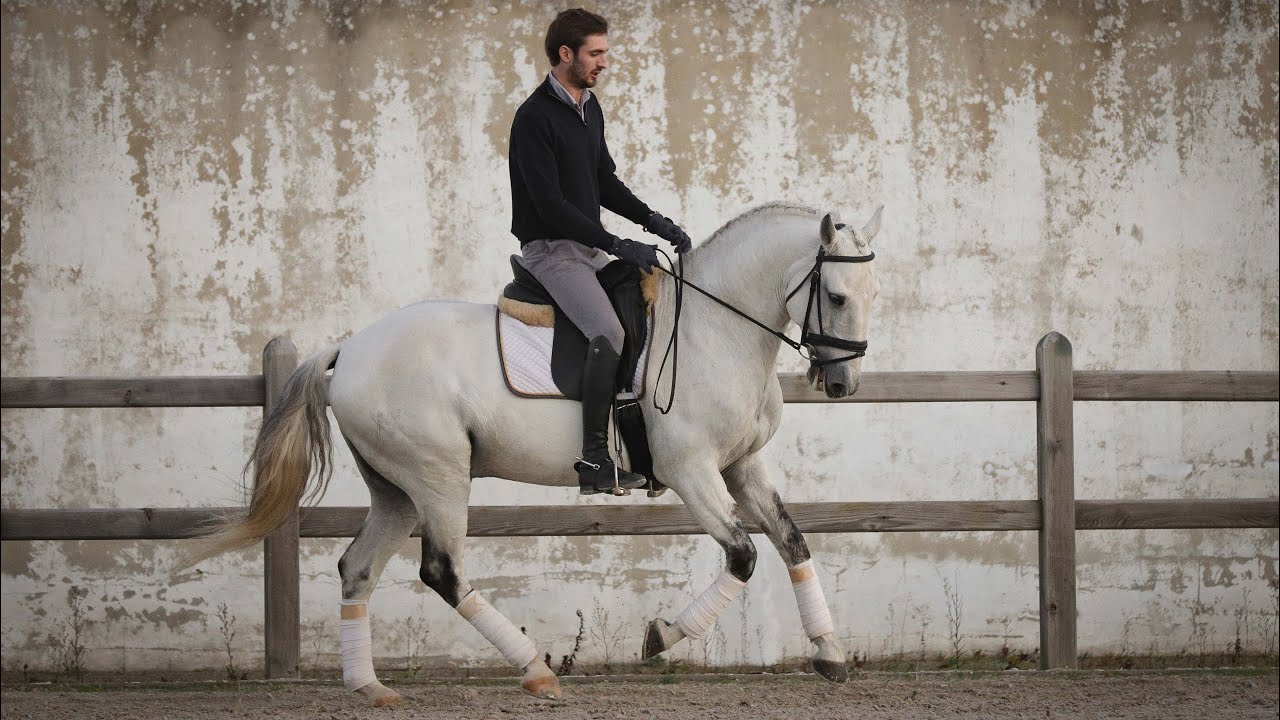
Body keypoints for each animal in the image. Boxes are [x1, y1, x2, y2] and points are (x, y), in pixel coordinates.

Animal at [194, 201, 882, 705]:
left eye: (872, 291)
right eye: (837, 296)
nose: (843, 384)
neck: (714, 330)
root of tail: (348, 349)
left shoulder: (742, 466)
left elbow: (791, 541)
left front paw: (829, 654)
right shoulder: (692, 471)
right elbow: (742, 555)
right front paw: (659, 637)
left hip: (397, 490)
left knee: (358, 568)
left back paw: (370, 687)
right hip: (438, 476)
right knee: (443, 572)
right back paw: (536, 670)